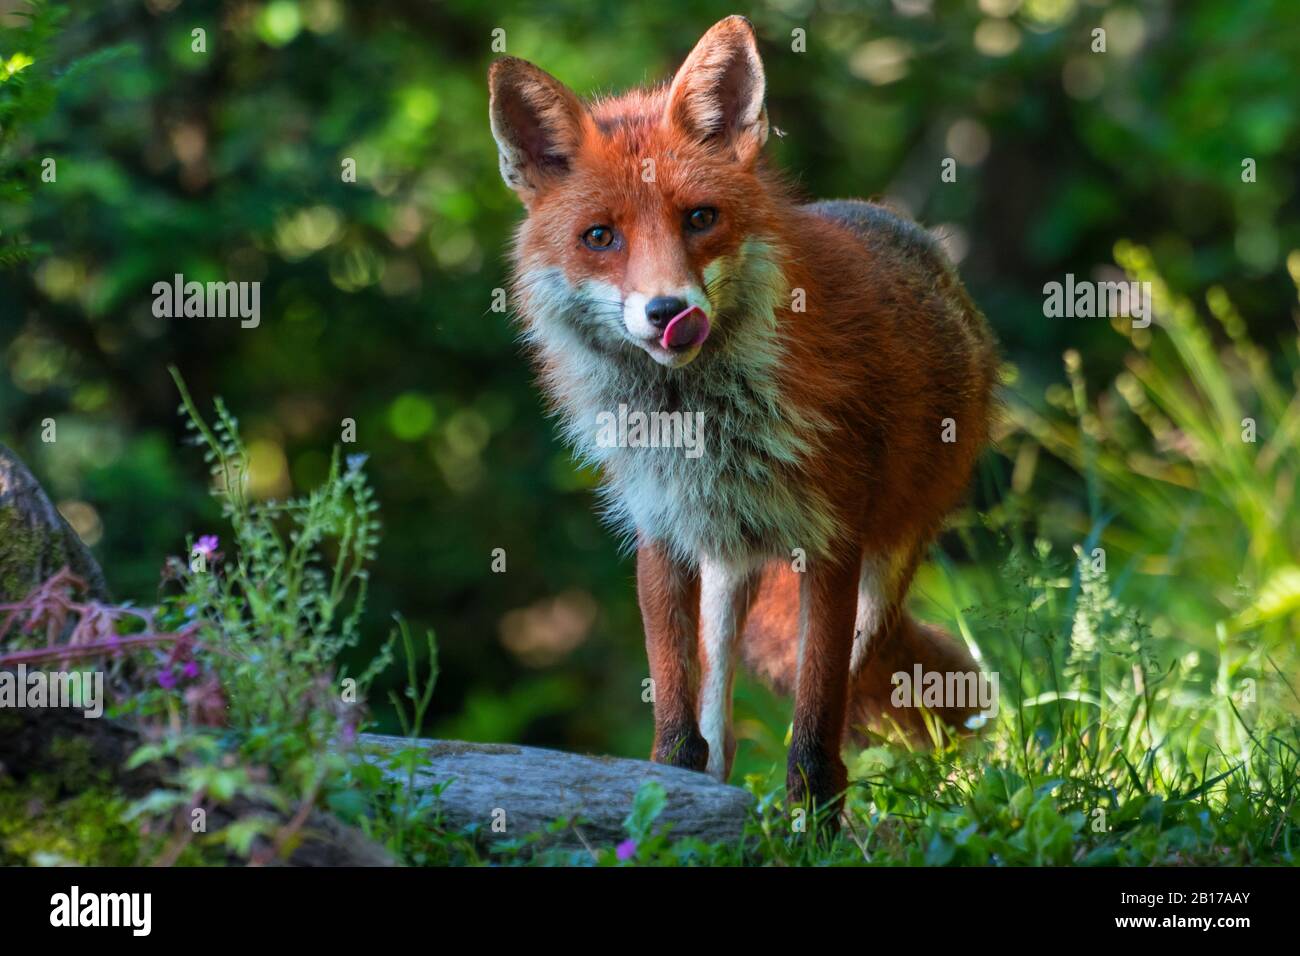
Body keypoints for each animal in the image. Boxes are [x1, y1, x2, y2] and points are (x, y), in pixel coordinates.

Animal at [488, 14, 993, 816]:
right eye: (600, 237)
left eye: (700, 218)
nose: (669, 310)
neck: (703, 424)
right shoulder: (663, 532)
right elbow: (678, 725)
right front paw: (667, 803)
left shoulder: (831, 541)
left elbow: (814, 733)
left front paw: (814, 822)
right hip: (729, 575)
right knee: (719, 725)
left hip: (883, 574)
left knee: (844, 690)